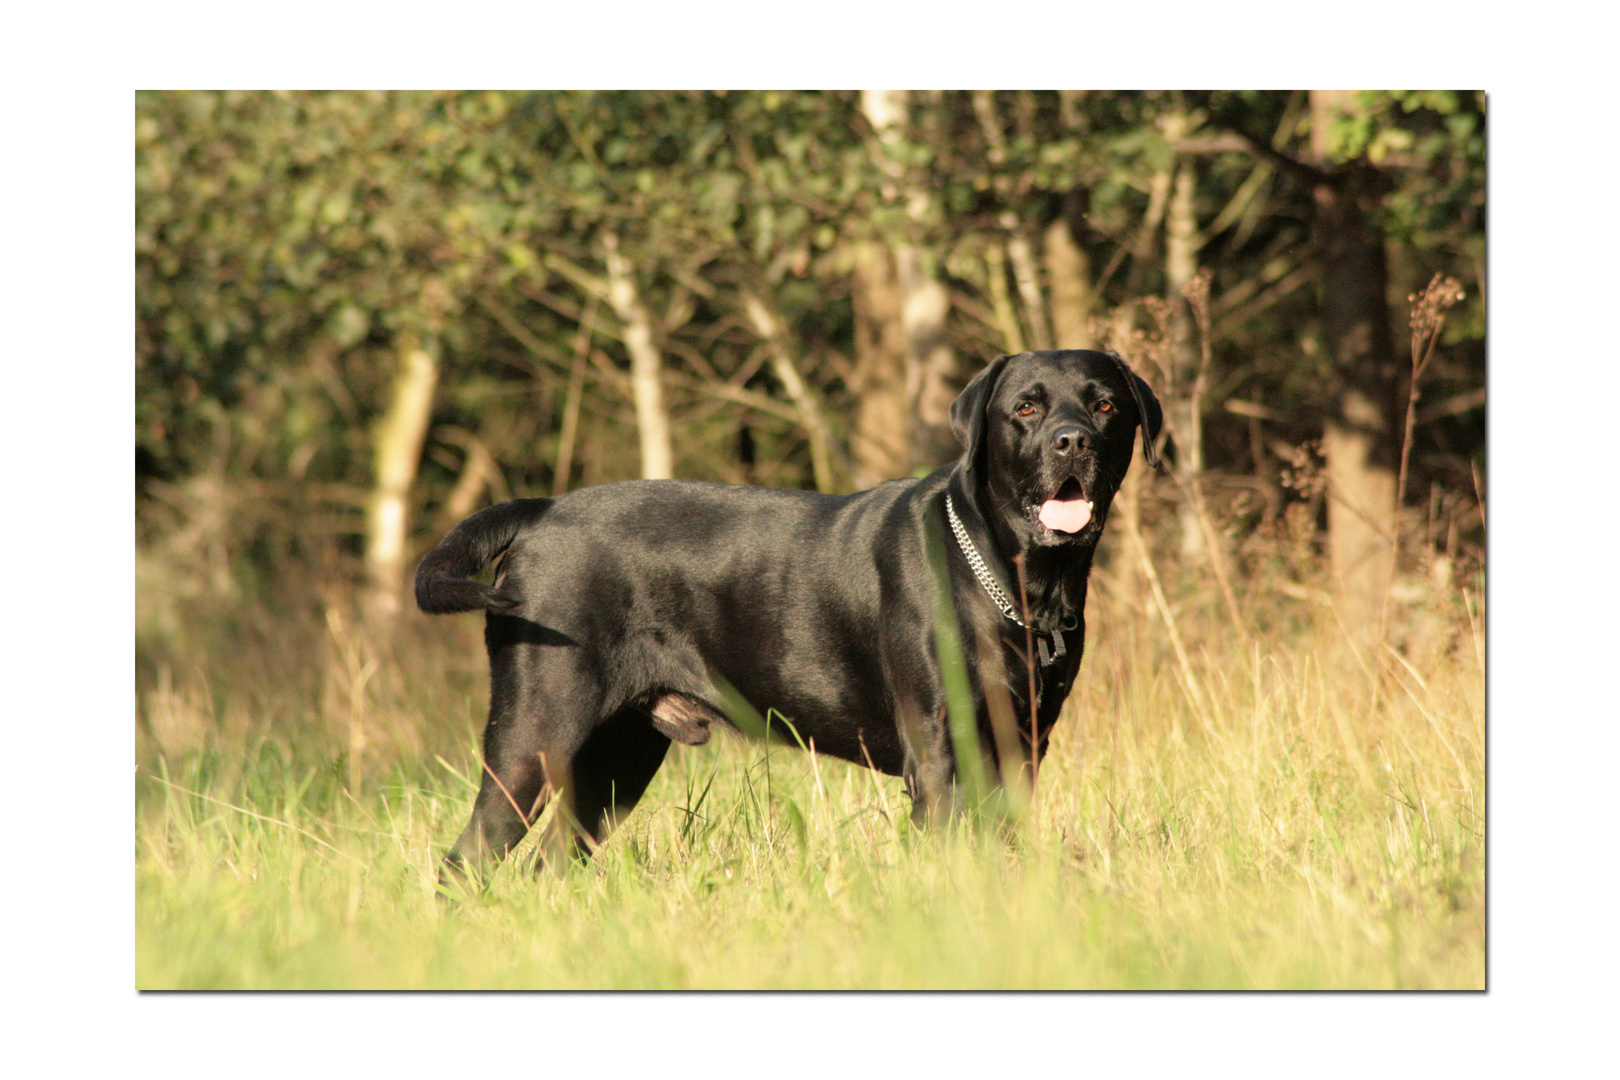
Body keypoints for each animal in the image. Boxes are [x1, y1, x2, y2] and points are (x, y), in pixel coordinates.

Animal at [414, 351, 1153, 880]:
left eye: (1106, 405)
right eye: (1025, 407)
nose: (1072, 442)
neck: (1024, 582)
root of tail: (540, 509)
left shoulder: (1022, 748)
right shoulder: (941, 752)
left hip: (619, 756)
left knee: (549, 863)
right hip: (535, 733)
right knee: (466, 861)